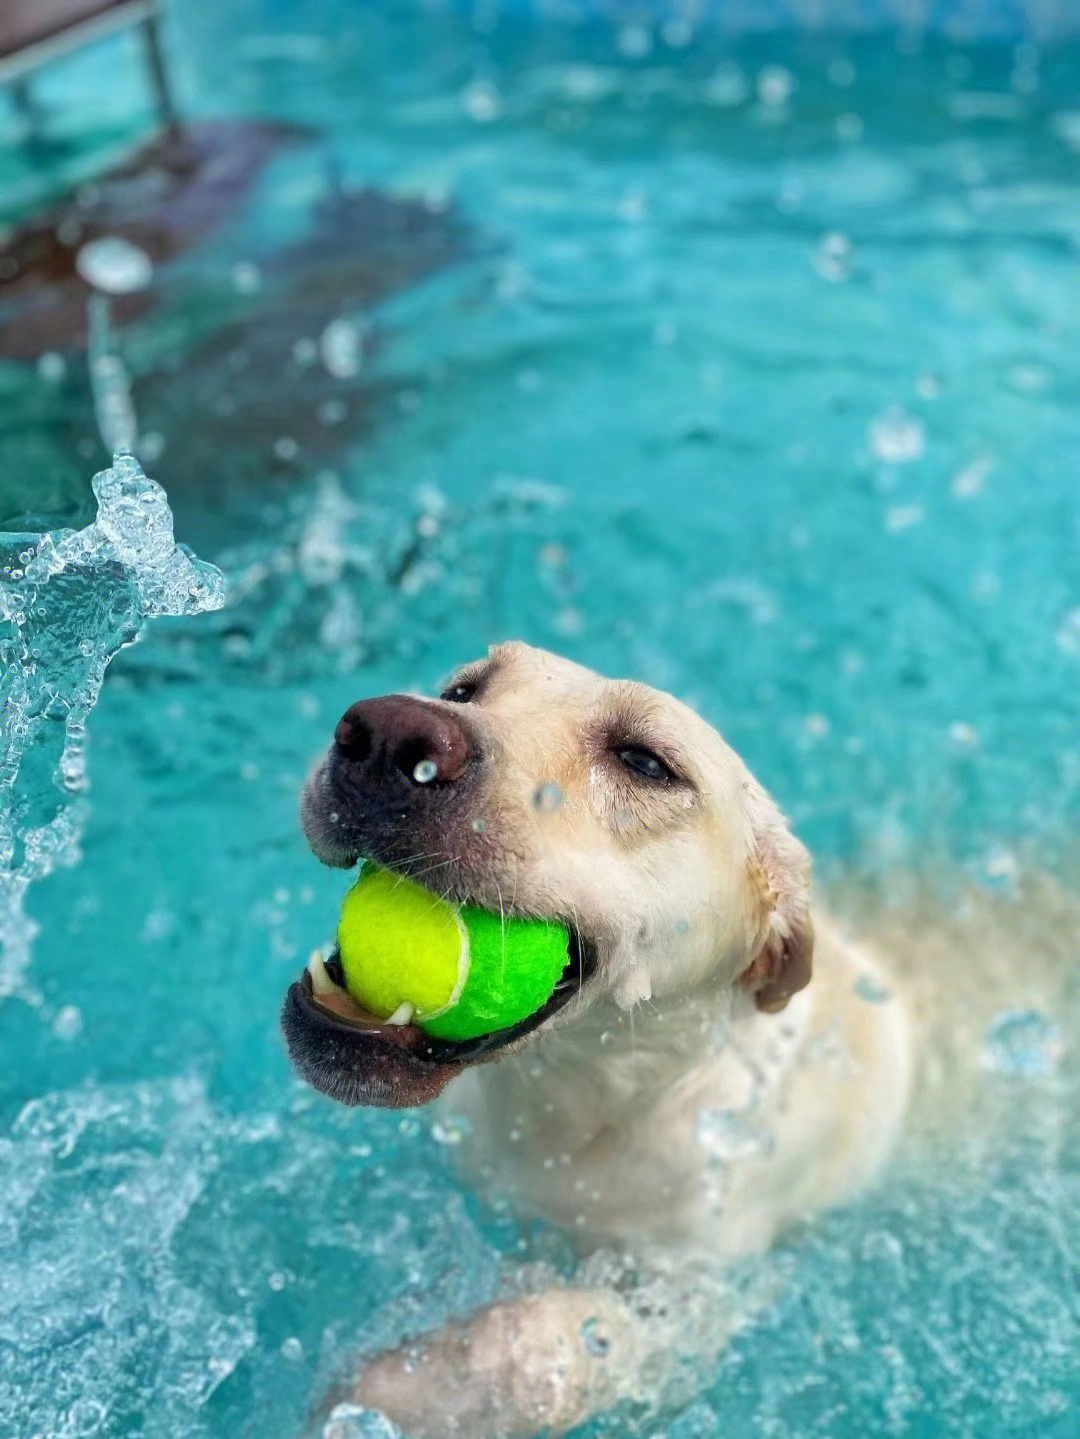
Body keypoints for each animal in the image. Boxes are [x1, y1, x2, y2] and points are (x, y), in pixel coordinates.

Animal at [284, 644, 920, 1439]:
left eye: (645, 763)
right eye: (463, 689)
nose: (388, 733)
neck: (589, 1097)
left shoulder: (700, 1292)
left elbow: (542, 1344)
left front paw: (396, 1390)